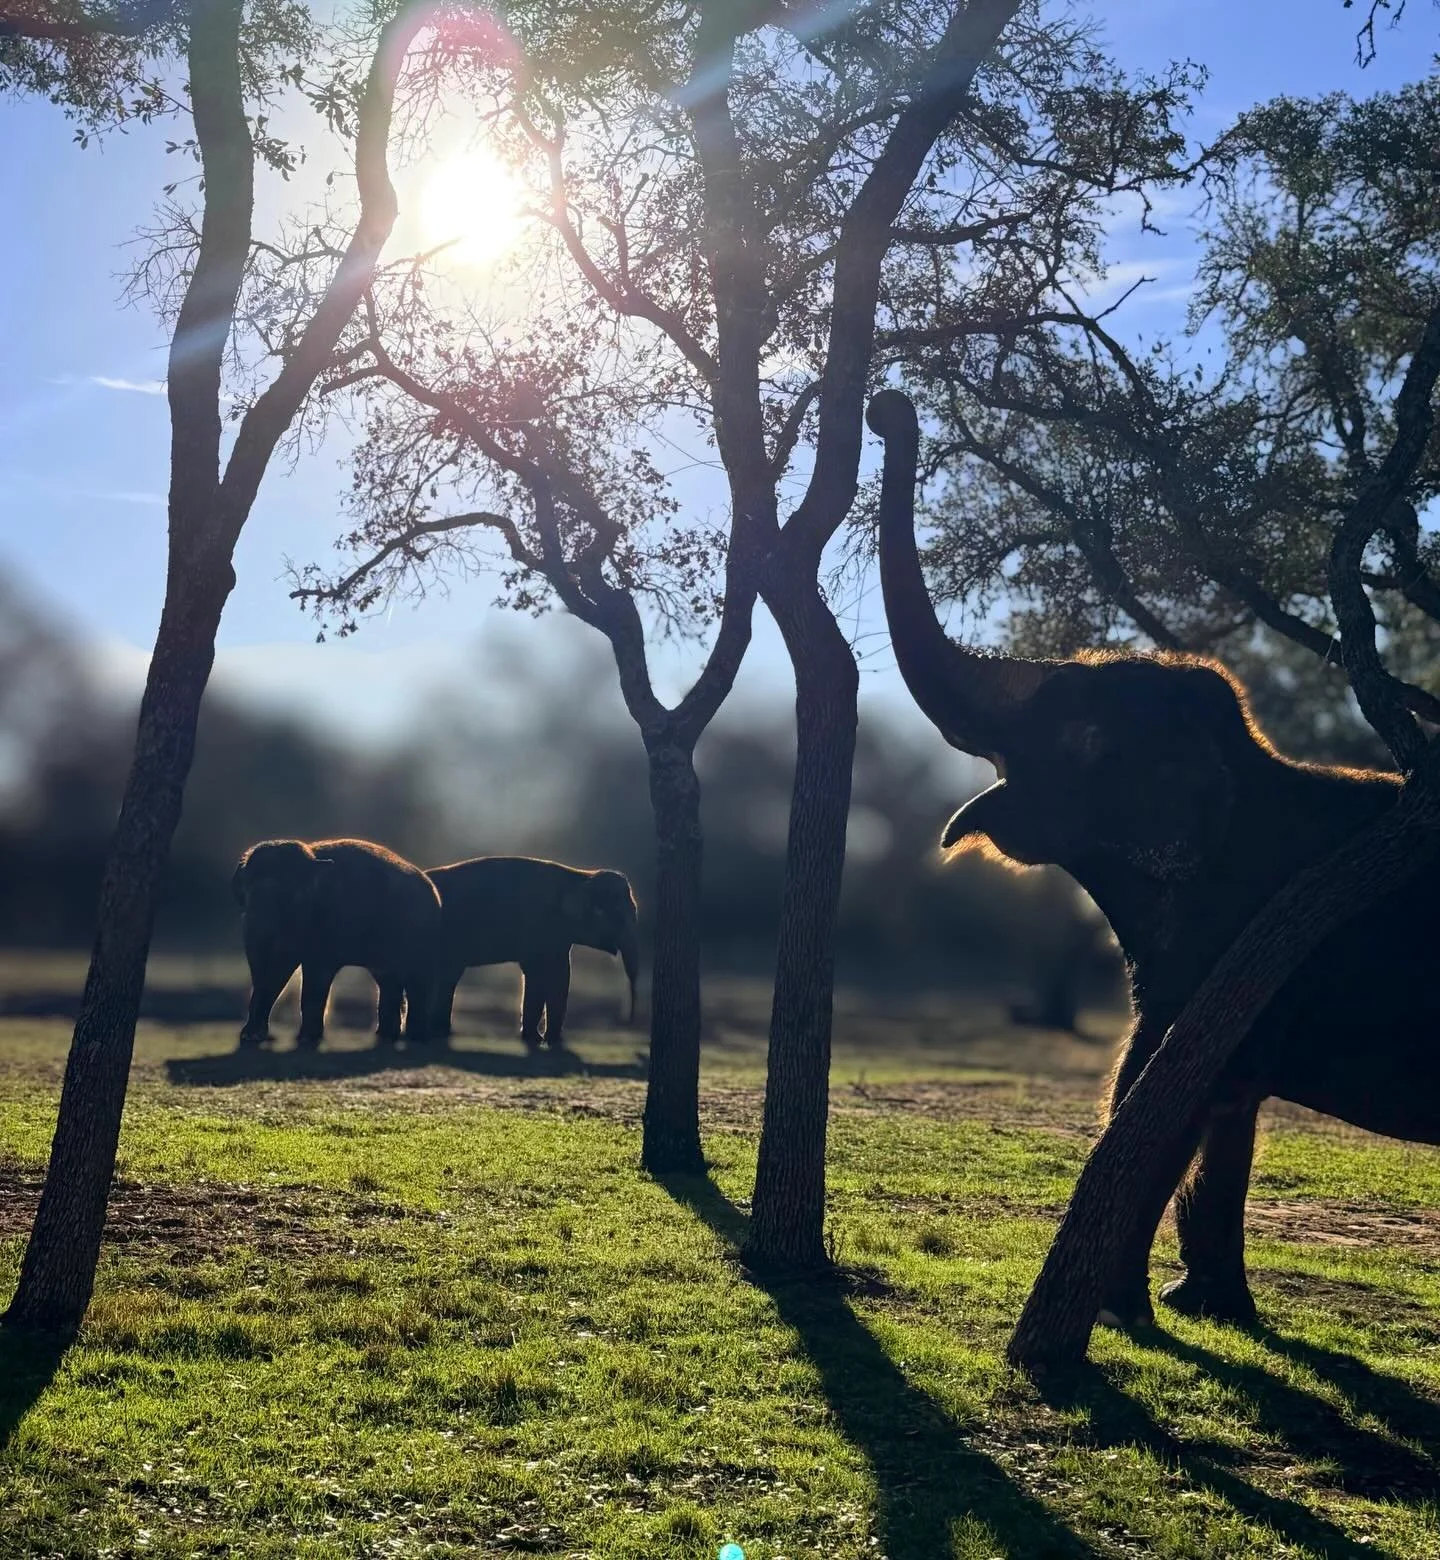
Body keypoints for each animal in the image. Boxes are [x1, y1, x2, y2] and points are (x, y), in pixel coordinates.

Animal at [233, 837, 442, 1049]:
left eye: (291, 896)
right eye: (247, 891)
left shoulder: (326, 924)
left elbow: (309, 973)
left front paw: (307, 1039)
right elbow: (271, 971)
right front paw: (251, 1036)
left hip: (420, 934)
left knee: (416, 981)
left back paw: (416, 1037)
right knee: (389, 981)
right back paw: (386, 1035)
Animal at [424, 856, 639, 1048]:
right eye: (620, 917)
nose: (626, 1020)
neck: (582, 876)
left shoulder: (557, 938)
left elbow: (551, 975)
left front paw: (536, 1039)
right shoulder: (542, 927)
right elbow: (550, 976)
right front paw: (548, 1041)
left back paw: (439, 1032)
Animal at [868, 387, 1440, 1329]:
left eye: (1079, 723)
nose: (887, 408)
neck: (1251, 769)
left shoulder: (1240, 932)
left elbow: (1163, 1092)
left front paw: (1120, 1314)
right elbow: (1204, 1099)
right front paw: (1199, 1308)